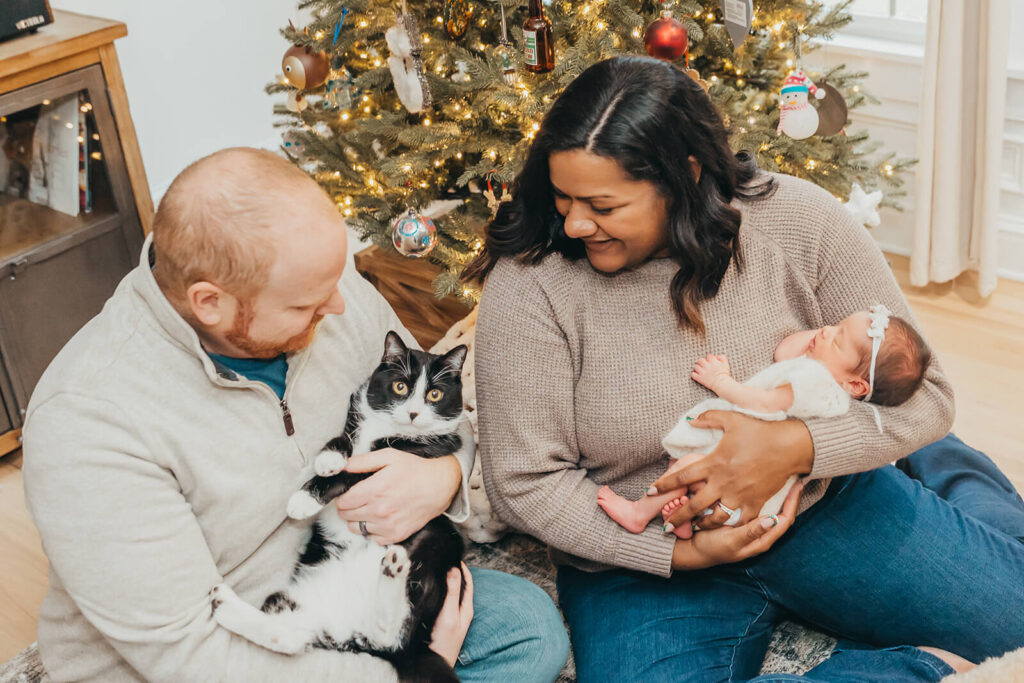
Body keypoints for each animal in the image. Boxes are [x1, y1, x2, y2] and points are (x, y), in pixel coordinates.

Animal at [212, 331, 475, 683]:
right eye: (400, 387)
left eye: (435, 394)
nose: (413, 414)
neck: (385, 430)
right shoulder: (355, 420)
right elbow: (342, 440)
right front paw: (328, 459)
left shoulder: (412, 456)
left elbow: (354, 472)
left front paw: (304, 499)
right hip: (295, 600)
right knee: (293, 637)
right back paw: (225, 604)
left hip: (437, 548)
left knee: (391, 633)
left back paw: (394, 569)